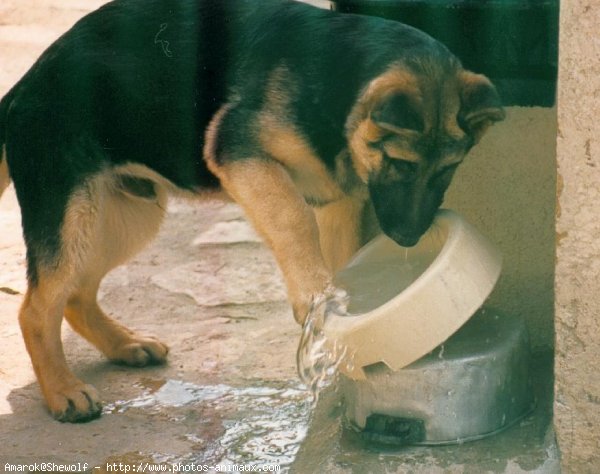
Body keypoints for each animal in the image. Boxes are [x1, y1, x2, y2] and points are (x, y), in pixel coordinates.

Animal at [0, 0, 506, 422]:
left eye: (448, 169)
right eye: (402, 164)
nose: (407, 239)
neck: (336, 81)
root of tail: (23, 86)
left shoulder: (338, 199)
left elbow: (341, 249)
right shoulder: (242, 156)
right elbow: (293, 220)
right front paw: (314, 298)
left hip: (125, 216)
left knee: (76, 296)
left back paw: (123, 345)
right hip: (74, 213)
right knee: (37, 307)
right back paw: (64, 391)